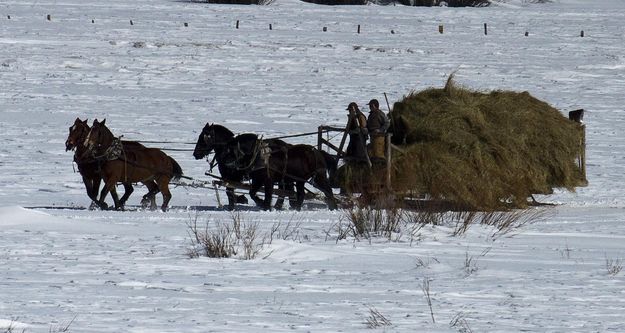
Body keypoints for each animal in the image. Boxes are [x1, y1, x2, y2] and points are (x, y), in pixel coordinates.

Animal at [193, 122, 336, 210]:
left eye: (203, 137)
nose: (195, 154)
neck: (257, 155)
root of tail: (318, 152)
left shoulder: (265, 180)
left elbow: (263, 195)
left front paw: (262, 205)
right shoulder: (254, 179)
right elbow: (247, 192)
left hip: (318, 177)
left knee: (327, 191)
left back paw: (334, 207)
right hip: (298, 180)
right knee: (298, 194)